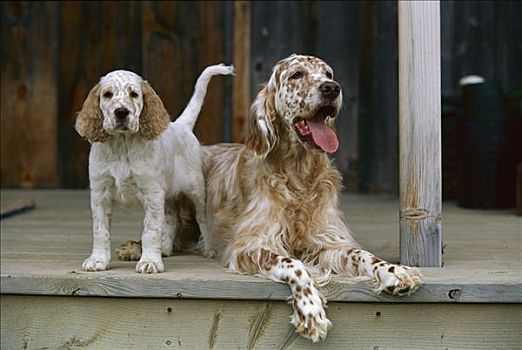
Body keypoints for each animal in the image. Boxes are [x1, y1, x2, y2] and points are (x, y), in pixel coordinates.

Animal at [76, 65, 233, 274]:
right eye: (107, 94)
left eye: (134, 94)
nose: (121, 112)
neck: (122, 145)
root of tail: (182, 125)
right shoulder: (100, 193)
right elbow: (100, 230)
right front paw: (98, 260)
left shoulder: (152, 192)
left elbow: (150, 230)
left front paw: (149, 261)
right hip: (167, 194)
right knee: (172, 218)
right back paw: (165, 248)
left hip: (195, 190)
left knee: (202, 218)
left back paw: (208, 249)